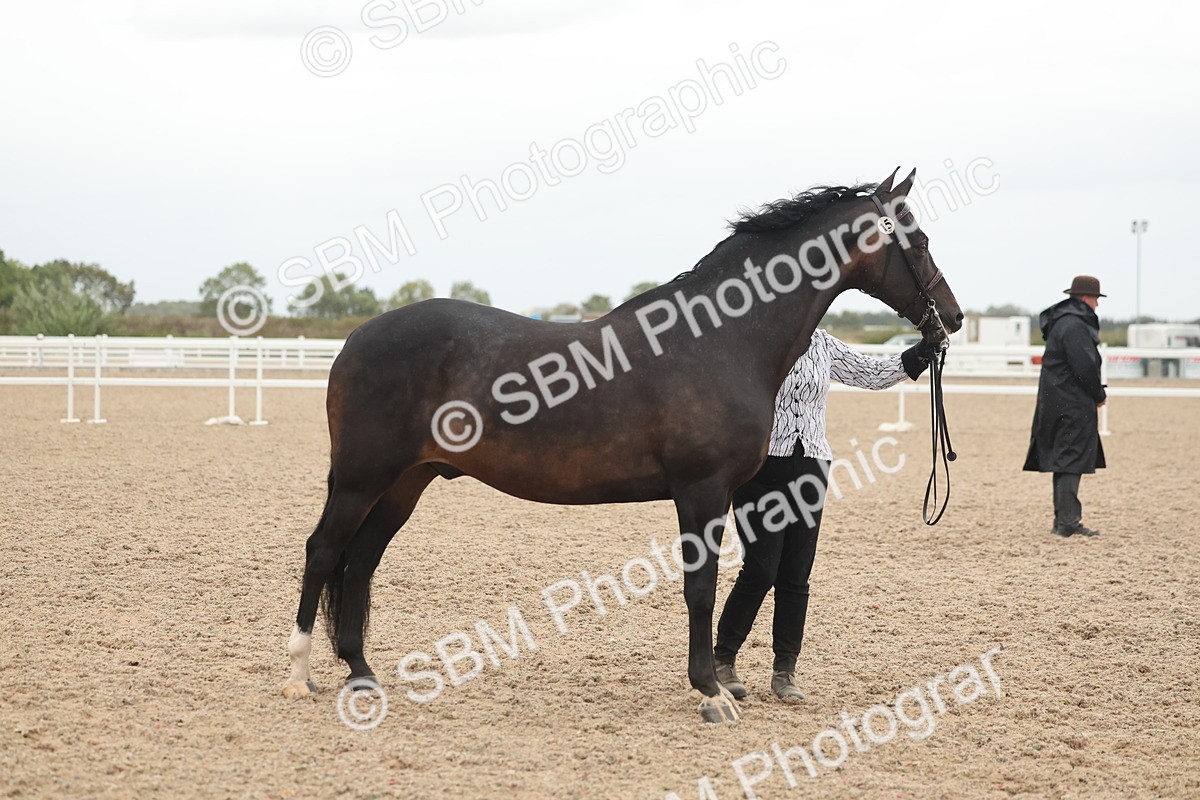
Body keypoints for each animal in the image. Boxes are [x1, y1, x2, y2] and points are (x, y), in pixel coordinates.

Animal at [281, 168, 963, 723]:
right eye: (919, 240)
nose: (951, 319)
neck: (721, 339)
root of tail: (356, 338)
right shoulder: (702, 492)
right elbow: (701, 587)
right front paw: (711, 693)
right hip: (364, 478)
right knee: (324, 551)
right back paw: (299, 677)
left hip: (406, 482)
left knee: (361, 562)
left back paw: (361, 674)